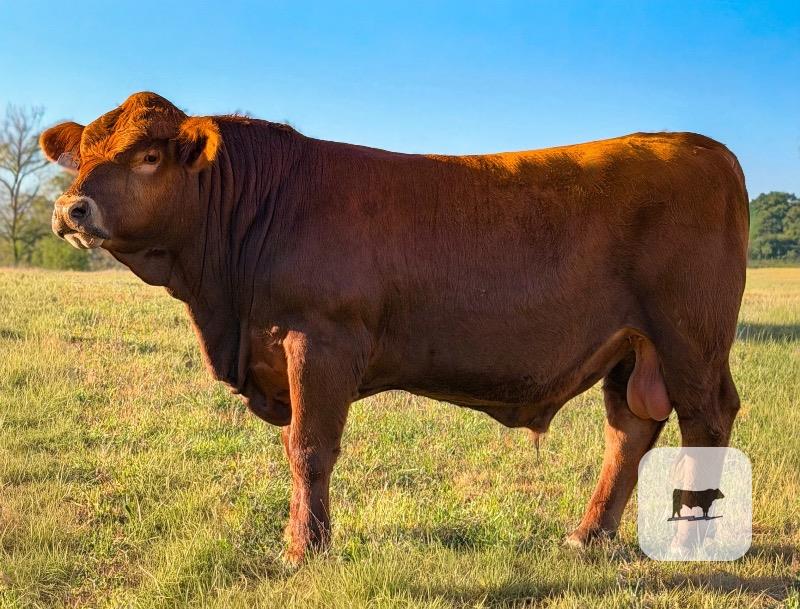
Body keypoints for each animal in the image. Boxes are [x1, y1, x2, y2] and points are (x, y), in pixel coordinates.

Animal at [40, 92, 748, 563]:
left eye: (149, 155)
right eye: (80, 157)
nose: (72, 209)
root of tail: (702, 146)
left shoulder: (321, 340)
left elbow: (309, 448)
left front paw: (304, 550)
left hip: (691, 338)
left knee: (706, 419)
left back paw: (691, 541)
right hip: (634, 349)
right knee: (629, 431)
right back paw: (587, 534)